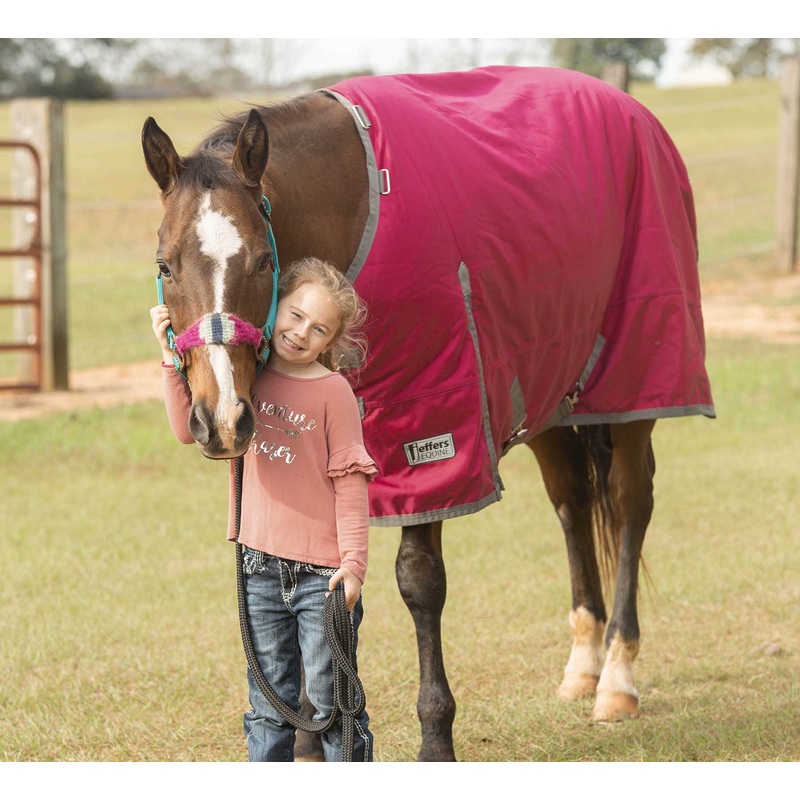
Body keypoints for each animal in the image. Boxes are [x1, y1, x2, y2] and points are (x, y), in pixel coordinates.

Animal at [142, 65, 715, 762]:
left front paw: (435, 736)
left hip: (633, 389)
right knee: (573, 505)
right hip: (549, 400)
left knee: (630, 505)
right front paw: (309, 735)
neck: (360, 210)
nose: (220, 418)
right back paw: (584, 666)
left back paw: (617, 679)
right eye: (166, 264)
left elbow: (419, 581)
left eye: (261, 260)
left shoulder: (432, 434)